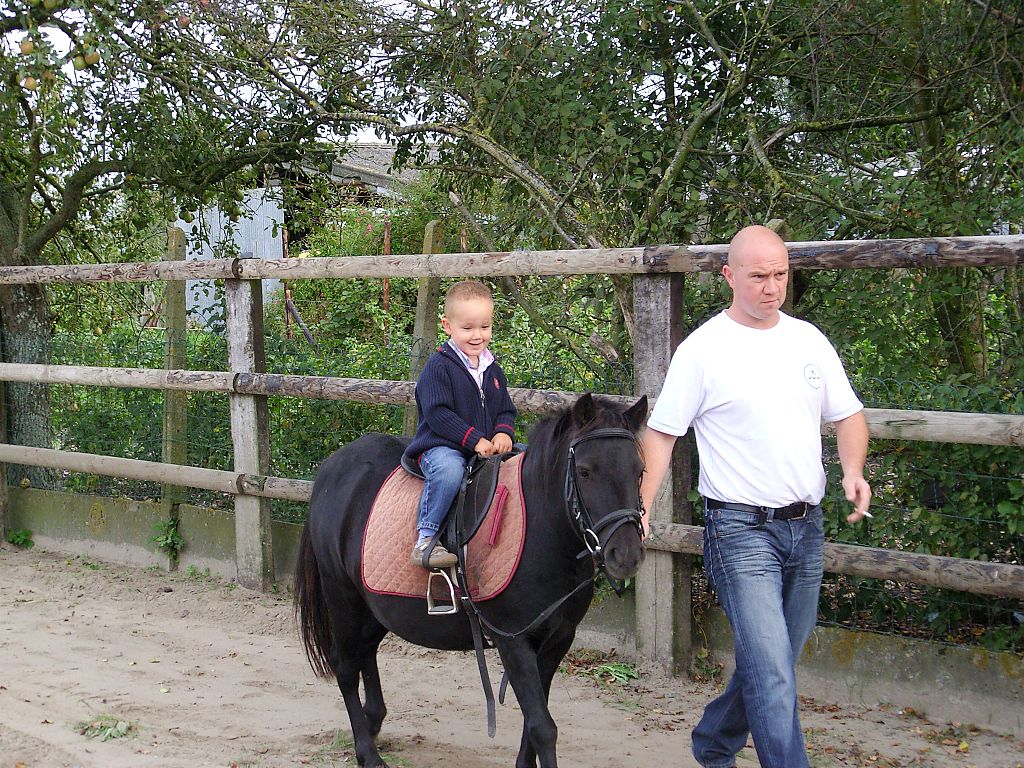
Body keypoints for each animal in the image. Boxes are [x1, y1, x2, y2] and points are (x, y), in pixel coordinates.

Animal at [294, 393, 648, 768]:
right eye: (585, 471)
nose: (626, 554)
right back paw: (368, 752)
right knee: (345, 665)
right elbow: (542, 726)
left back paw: (373, 720)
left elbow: (533, 723)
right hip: (342, 595)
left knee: (366, 650)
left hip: (373, 604)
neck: (542, 530)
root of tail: (333, 467)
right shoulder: (513, 642)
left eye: (639, 470)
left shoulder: (557, 641)